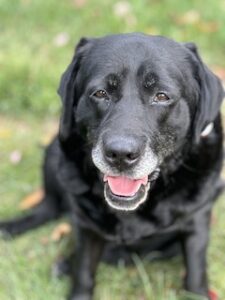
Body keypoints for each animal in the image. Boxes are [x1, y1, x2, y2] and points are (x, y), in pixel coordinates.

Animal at [0, 34, 224, 298]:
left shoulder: (197, 220)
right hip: (54, 151)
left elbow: (195, 275)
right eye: (100, 93)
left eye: (161, 96)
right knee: (49, 207)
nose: (120, 154)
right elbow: (84, 272)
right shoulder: (86, 224)